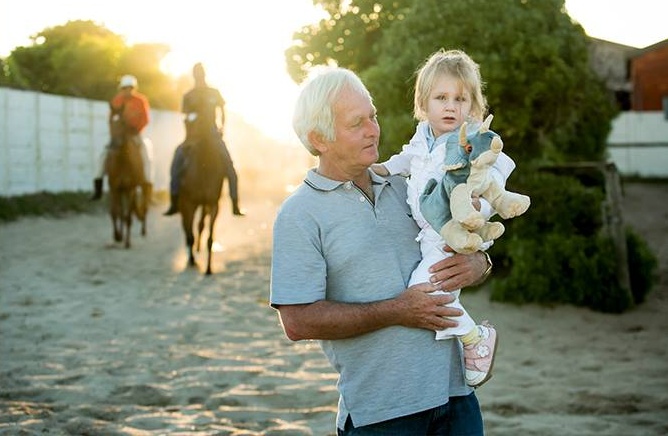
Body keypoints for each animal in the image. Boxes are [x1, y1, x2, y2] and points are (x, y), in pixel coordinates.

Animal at [105, 113, 147, 249]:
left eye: (123, 124)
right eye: (110, 124)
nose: (113, 145)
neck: (123, 161)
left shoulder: (130, 189)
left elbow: (128, 216)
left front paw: (127, 242)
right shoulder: (114, 188)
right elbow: (115, 212)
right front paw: (117, 236)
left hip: (141, 186)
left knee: (143, 206)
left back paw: (143, 231)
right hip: (121, 191)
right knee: (121, 212)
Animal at [177, 134, 227, 276]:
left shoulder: (209, 203)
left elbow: (203, 231)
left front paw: (206, 267)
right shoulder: (196, 204)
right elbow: (197, 229)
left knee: (193, 229)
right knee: (191, 230)